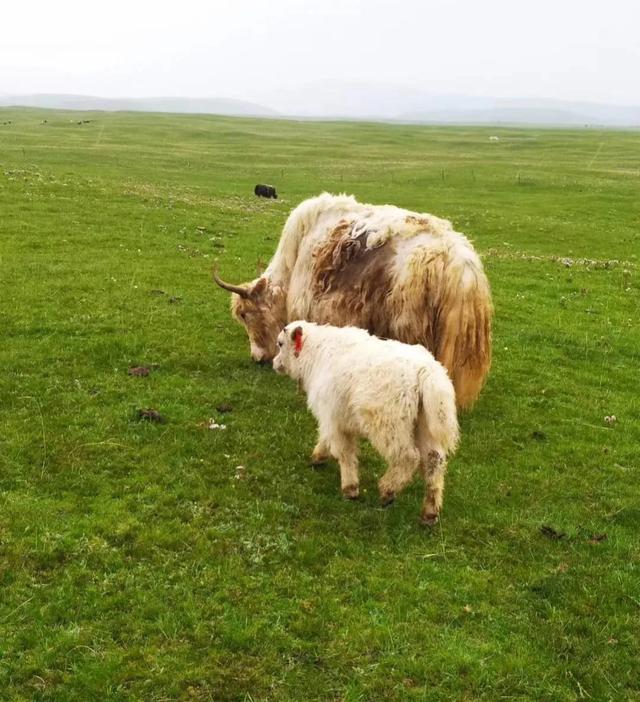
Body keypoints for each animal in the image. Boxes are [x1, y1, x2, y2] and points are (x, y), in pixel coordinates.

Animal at [272, 322, 460, 524]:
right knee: (434, 460)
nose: (274, 363)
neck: (314, 356)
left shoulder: (333, 416)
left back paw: (388, 491)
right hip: (425, 425)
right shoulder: (334, 418)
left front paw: (350, 488)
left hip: (390, 424)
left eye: (280, 344)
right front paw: (318, 456)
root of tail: (425, 371)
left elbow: (344, 452)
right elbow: (326, 439)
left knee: (408, 457)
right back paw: (430, 512)